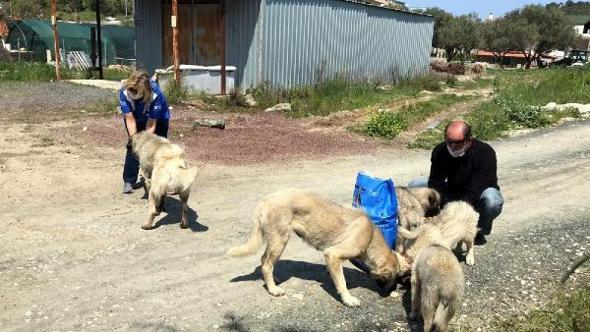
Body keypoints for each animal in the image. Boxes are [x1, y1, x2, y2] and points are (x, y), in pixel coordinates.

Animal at [227, 188, 408, 308]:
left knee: (265, 261)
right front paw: (348, 299)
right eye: (394, 277)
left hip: (275, 241)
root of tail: (264, 201)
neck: (370, 236)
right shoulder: (333, 254)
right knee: (266, 265)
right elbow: (342, 283)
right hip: (280, 240)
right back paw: (273, 290)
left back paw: (273, 280)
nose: (393, 291)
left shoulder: (333, 258)